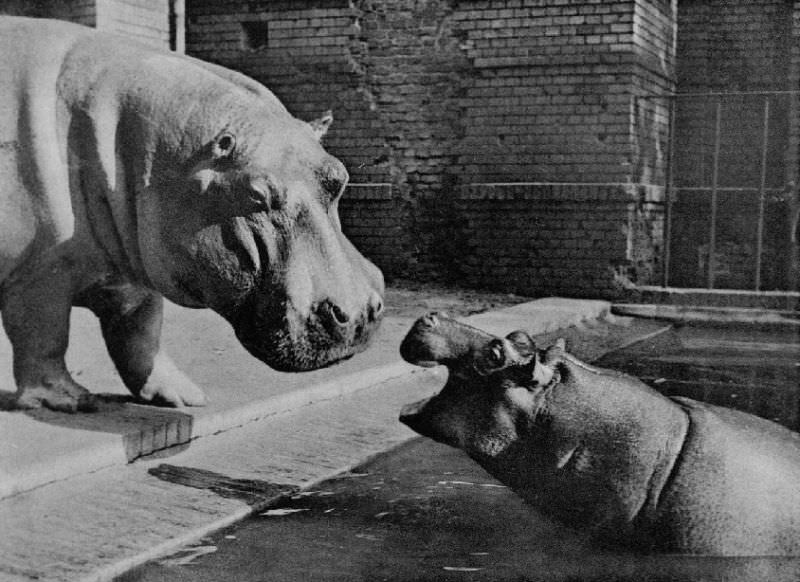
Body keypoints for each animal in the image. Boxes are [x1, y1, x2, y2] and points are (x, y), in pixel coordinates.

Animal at [0, 17, 384, 412]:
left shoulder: (136, 261)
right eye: (256, 196)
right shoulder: (40, 272)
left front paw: (184, 396)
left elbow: (141, 332)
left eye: (340, 177)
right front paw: (70, 401)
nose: (359, 314)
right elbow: (44, 334)